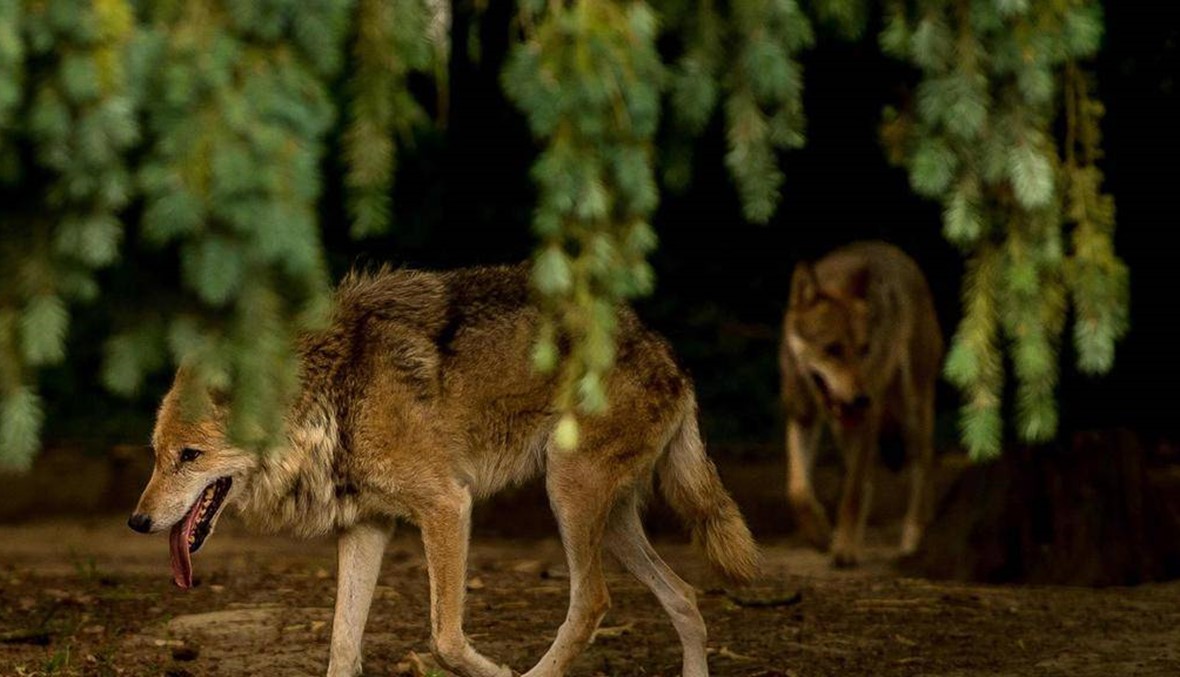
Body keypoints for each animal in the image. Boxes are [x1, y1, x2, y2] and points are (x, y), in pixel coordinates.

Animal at [127, 263, 758, 677]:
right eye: (156, 455)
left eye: (190, 456)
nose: (137, 522)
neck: (332, 398)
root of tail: (668, 354)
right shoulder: (366, 526)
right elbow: (341, 647)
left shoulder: (447, 506)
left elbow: (444, 640)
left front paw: (497, 673)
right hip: (608, 519)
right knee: (685, 597)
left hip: (568, 494)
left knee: (592, 604)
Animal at [779, 241, 943, 567]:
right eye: (832, 349)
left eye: (864, 349)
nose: (862, 398)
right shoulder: (802, 416)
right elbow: (798, 490)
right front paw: (818, 534)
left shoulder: (867, 419)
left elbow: (851, 494)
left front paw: (845, 549)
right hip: (848, 426)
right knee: (869, 479)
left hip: (911, 411)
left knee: (922, 467)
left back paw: (913, 537)